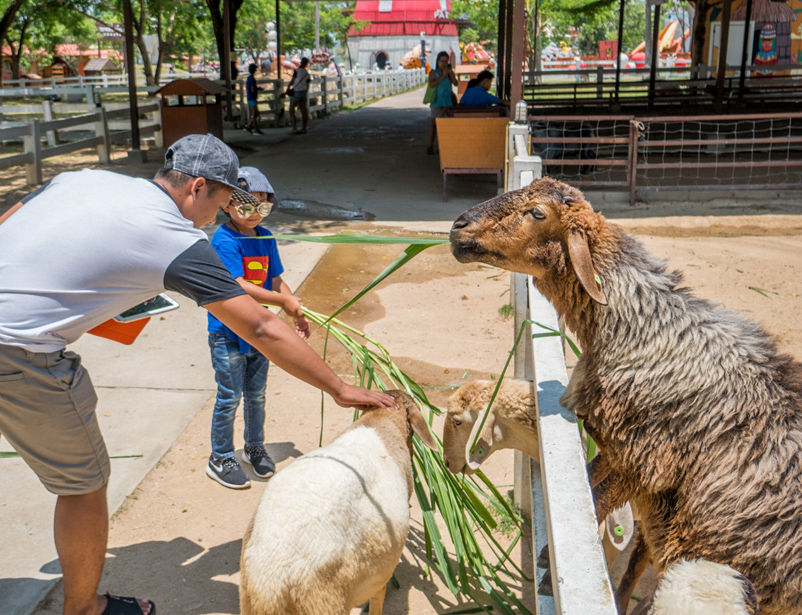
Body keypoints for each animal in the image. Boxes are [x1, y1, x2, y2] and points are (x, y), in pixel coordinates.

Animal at [239, 390, 438, 615]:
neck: (381, 419)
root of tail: (270, 584)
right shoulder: (381, 574)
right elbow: (378, 599)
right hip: (327, 603)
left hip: (247, 599)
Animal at [446, 178, 800, 615]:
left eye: (538, 213)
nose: (458, 227)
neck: (643, 327)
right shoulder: (616, 447)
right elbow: (589, 484)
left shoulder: (645, 460)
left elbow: (598, 499)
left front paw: (547, 567)